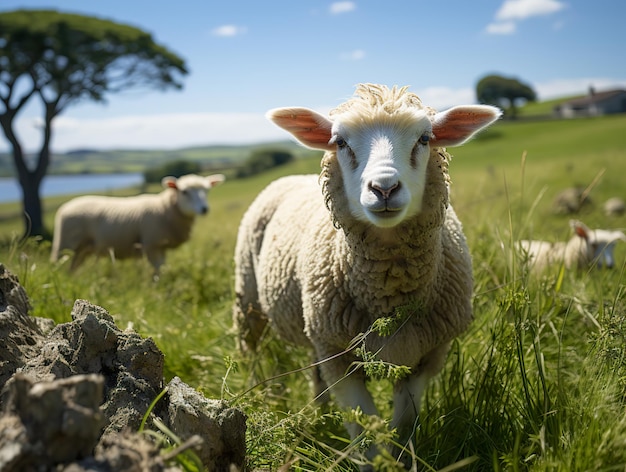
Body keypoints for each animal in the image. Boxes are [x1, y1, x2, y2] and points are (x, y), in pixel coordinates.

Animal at [50, 172, 224, 276]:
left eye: (207, 191)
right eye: (184, 192)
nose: (204, 209)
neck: (165, 209)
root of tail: (64, 207)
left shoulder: (161, 246)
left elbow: (162, 267)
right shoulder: (151, 244)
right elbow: (157, 269)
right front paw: (158, 287)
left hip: (82, 250)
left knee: (72, 268)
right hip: (65, 244)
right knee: (57, 265)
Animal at [232, 82, 500, 464]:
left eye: (424, 138)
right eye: (340, 142)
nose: (384, 188)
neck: (389, 294)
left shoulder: (424, 355)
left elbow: (403, 426)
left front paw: (400, 461)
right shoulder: (340, 357)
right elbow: (364, 432)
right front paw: (375, 460)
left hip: (313, 327)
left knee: (314, 373)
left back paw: (318, 414)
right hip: (251, 302)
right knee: (252, 351)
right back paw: (258, 397)